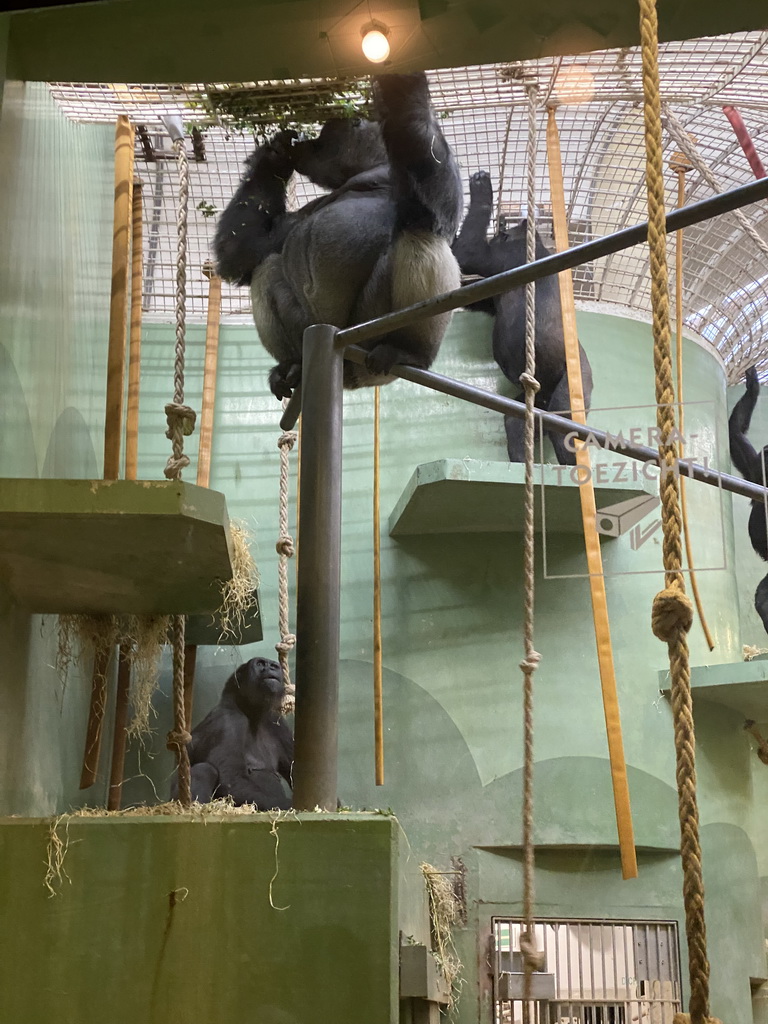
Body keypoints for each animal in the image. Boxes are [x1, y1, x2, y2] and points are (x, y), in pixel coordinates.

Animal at [171, 655, 294, 806]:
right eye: (260, 664)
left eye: (273, 665)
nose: (273, 666)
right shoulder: (228, 720)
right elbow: (231, 780)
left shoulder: (276, 722)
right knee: (204, 770)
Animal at [211, 72, 462, 397]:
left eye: (321, 140)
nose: (305, 144)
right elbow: (244, 252)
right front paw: (272, 158)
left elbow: (432, 192)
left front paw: (401, 86)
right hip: (314, 333)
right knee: (265, 265)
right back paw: (292, 364)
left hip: (368, 338)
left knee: (420, 235)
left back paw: (410, 350)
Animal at [450, 169, 593, 466]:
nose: (499, 233)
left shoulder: (509, 255)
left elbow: (469, 252)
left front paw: (482, 190)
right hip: (541, 395)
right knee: (517, 419)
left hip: (576, 384)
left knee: (563, 425)